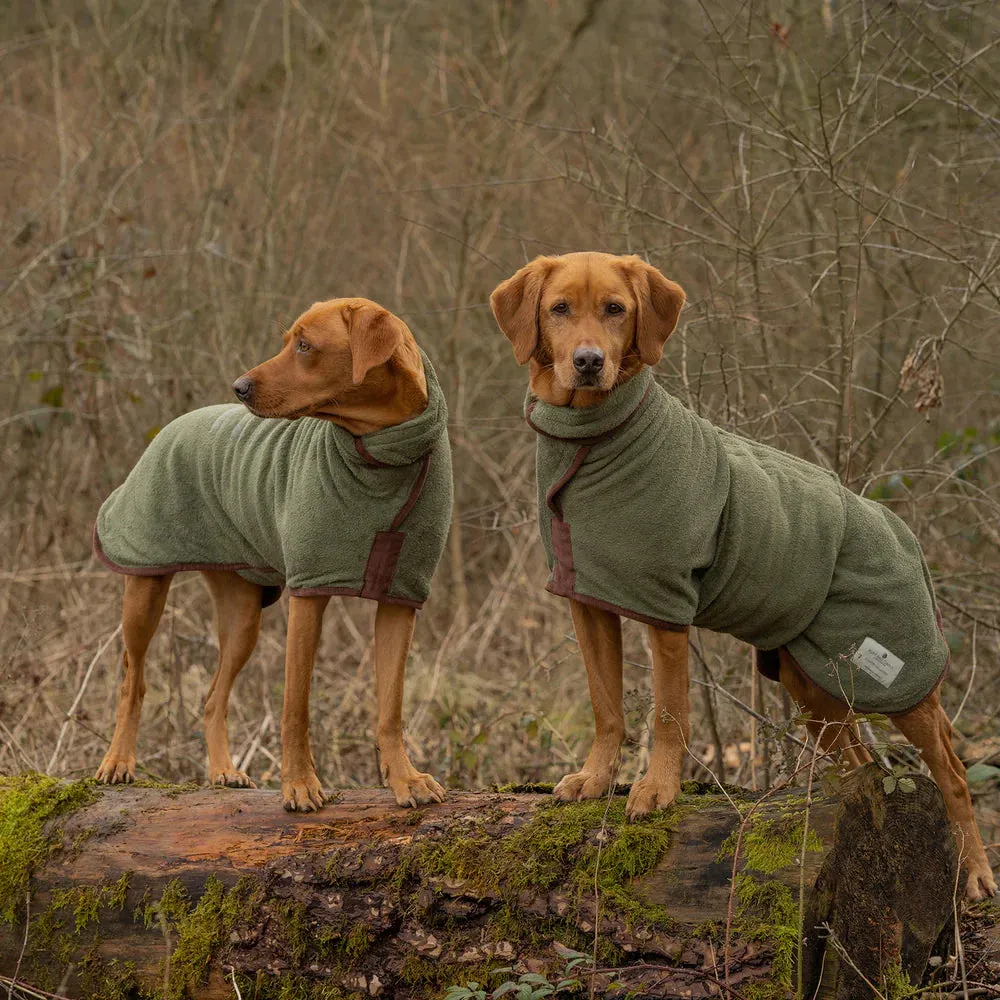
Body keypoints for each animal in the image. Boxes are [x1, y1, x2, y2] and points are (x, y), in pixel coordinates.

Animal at [94, 296, 454, 812]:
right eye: (289, 341)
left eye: (304, 346)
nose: (239, 387)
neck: (383, 452)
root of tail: (172, 425)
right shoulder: (309, 593)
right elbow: (295, 706)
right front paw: (300, 784)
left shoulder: (399, 598)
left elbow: (391, 706)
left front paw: (405, 779)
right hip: (144, 586)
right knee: (132, 678)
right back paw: (118, 761)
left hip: (244, 613)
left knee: (212, 697)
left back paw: (223, 771)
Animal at [488, 250, 996, 900]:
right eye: (558, 309)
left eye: (615, 309)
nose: (588, 362)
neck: (596, 439)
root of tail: (900, 530)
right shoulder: (590, 602)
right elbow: (607, 708)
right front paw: (595, 778)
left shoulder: (667, 610)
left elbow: (667, 713)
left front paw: (657, 789)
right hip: (814, 683)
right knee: (859, 761)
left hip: (896, 676)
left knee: (953, 772)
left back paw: (976, 871)